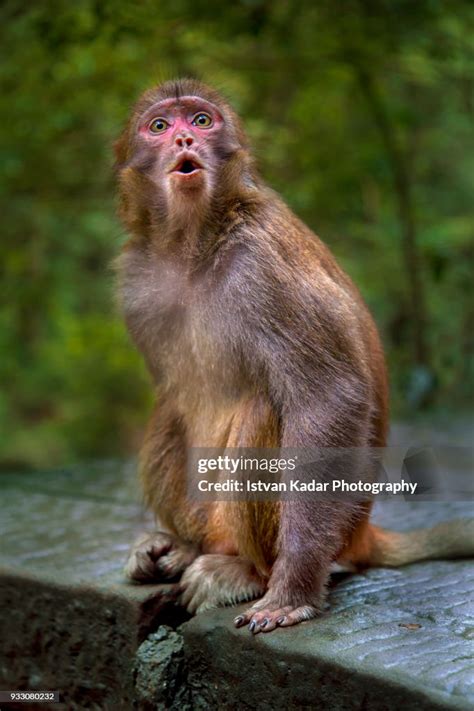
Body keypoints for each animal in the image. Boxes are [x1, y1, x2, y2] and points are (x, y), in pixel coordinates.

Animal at [115, 79, 474, 636]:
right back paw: (186, 546)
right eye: (158, 126)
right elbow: (173, 395)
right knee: (169, 414)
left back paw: (248, 570)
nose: (183, 141)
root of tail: (360, 531)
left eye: (201, 121)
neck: (195, 242)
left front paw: (294, 590)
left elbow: (329, 398)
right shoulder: (137, 280)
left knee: (265, 410)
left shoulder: (262, 267)